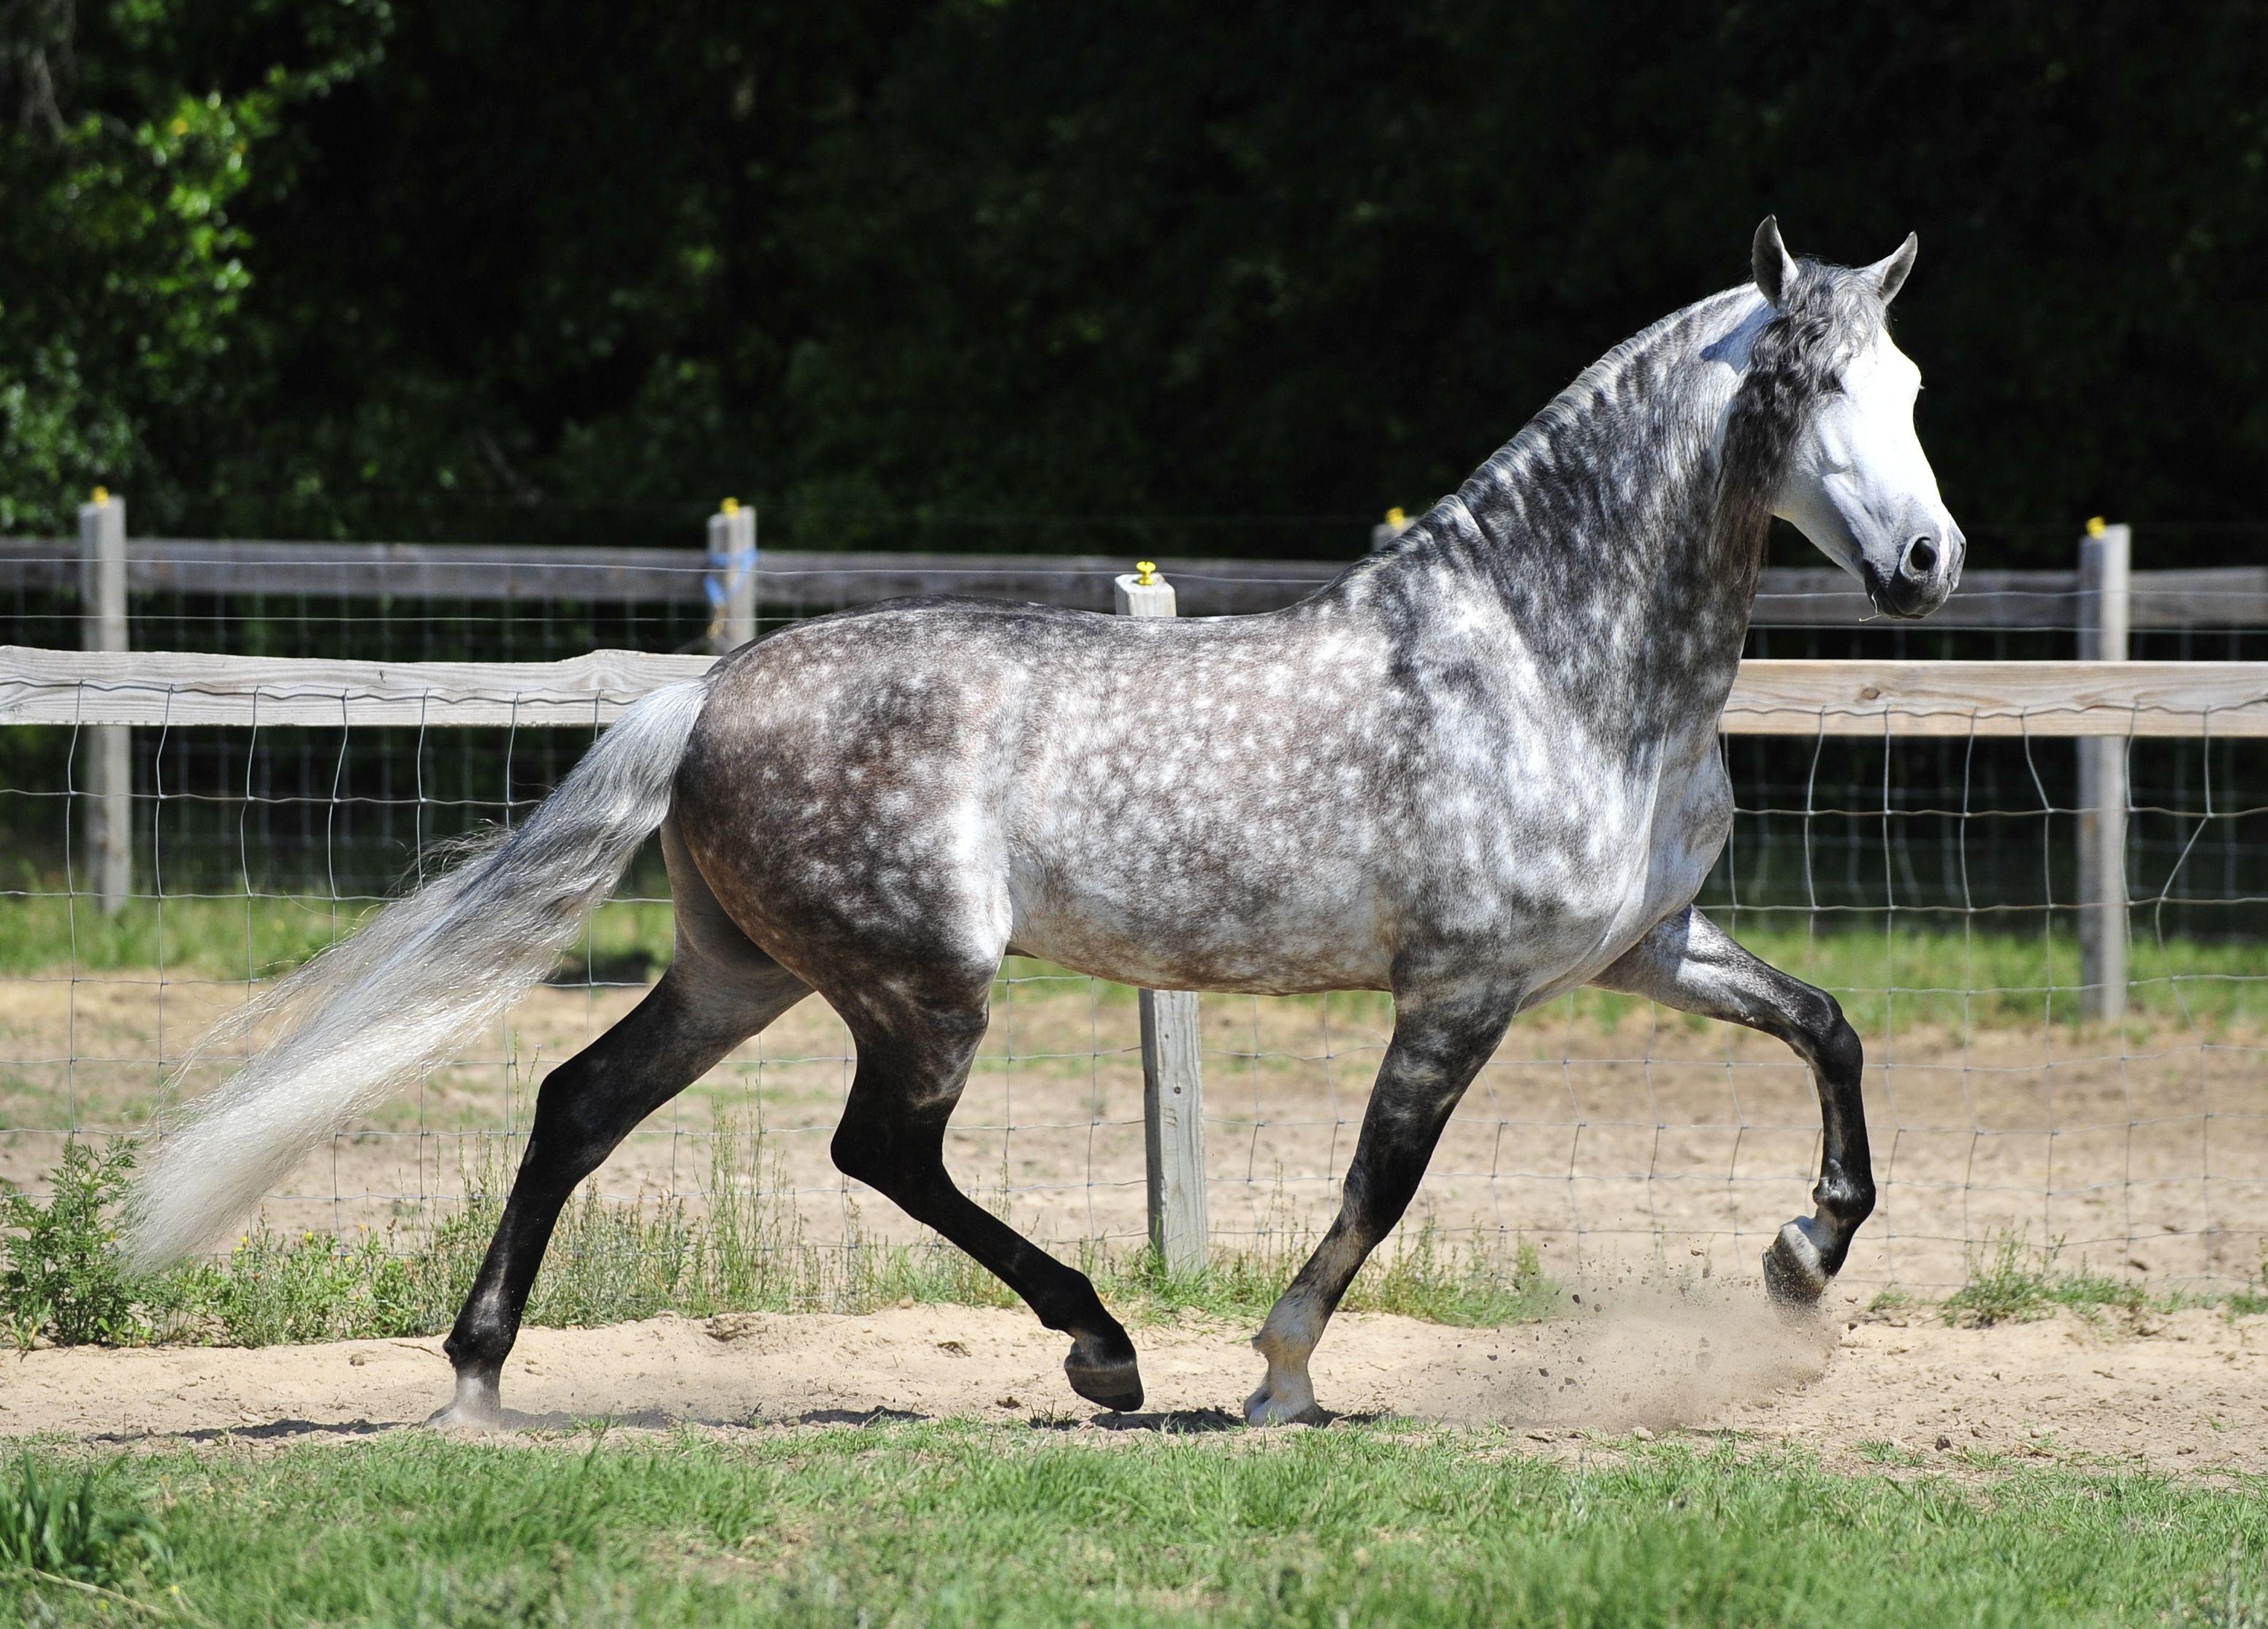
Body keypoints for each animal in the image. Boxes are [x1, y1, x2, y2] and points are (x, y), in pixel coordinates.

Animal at [124, 219, 1961, 1428]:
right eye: (1806, 380)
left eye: (1910, 377)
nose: (1928, 562)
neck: (1547, 658)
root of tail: (705, 693)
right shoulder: (1460, 989)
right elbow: (1379, 1186)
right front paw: (1278, 1372)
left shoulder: (1639, 948)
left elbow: (1830, 1027)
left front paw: (1801, 1255)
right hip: (919, 982)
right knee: (876, 1149)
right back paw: (1103, 1348)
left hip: (742, 972)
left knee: (578, 1102)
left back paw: (480, 1374)